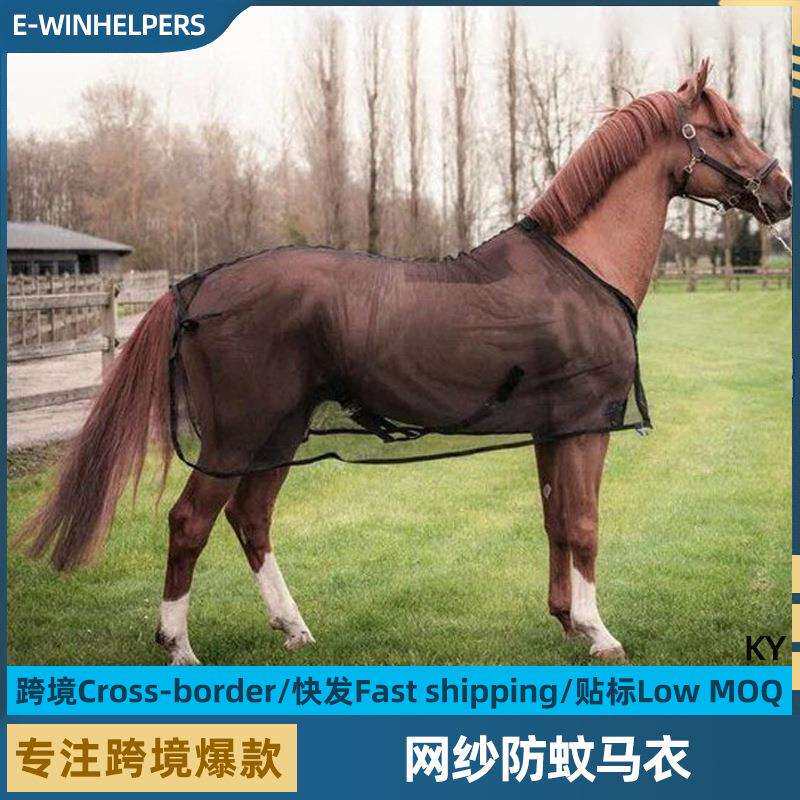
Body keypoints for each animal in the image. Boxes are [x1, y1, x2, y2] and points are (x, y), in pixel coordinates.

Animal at [17, 60, 791, 664]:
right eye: (723, 130)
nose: (781, 192)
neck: (581, 269)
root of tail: (199, 284)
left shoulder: (552, 430)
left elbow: (554, 520)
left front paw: (567, 621)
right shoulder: (585, 426)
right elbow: (584, 526)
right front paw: (601, 634)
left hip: (280, 432)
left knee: (251, 519)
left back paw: (293, 628)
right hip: (238, 435)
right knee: (190, 523)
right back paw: (179, 644)